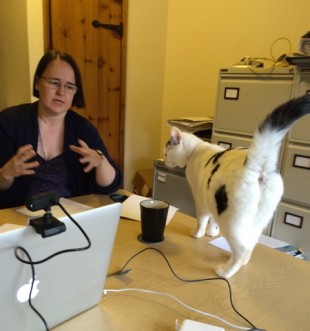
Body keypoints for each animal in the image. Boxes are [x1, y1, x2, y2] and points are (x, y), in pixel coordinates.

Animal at [163, 94, 310, 278]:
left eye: (166, 152)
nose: (164, 160)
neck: (196, 149)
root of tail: (257, 164)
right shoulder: (212, 199)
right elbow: (212, 220)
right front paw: (212, 232)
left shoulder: (201, 200)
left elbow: (202, 220)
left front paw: (198, 234)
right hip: (257, 220)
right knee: (251, 243)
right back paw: (240, 262)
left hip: (232, 220)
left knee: (242, 248)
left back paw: (226, 271)